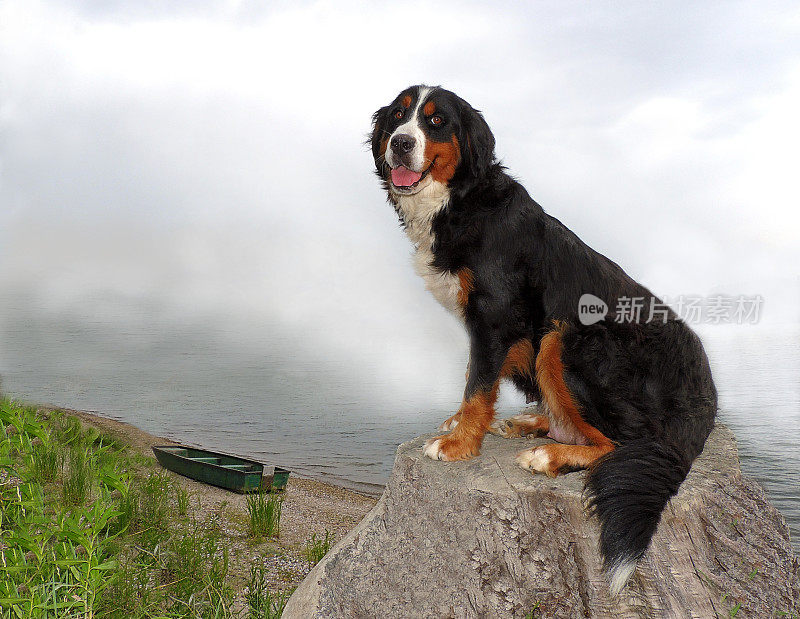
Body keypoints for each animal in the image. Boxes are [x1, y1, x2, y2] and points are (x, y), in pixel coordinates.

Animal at [370, 85, 720, 592]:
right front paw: (464, 426)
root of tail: (705, 392)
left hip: (566, 339)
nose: (399, 143)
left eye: (435, 122)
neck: (460, 202)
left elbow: (478, 384)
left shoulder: (494, 316)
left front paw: (459, 444)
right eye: (398, 116)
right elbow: (477, 381)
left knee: (618, 445)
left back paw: (548, 455)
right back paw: (533, 423)